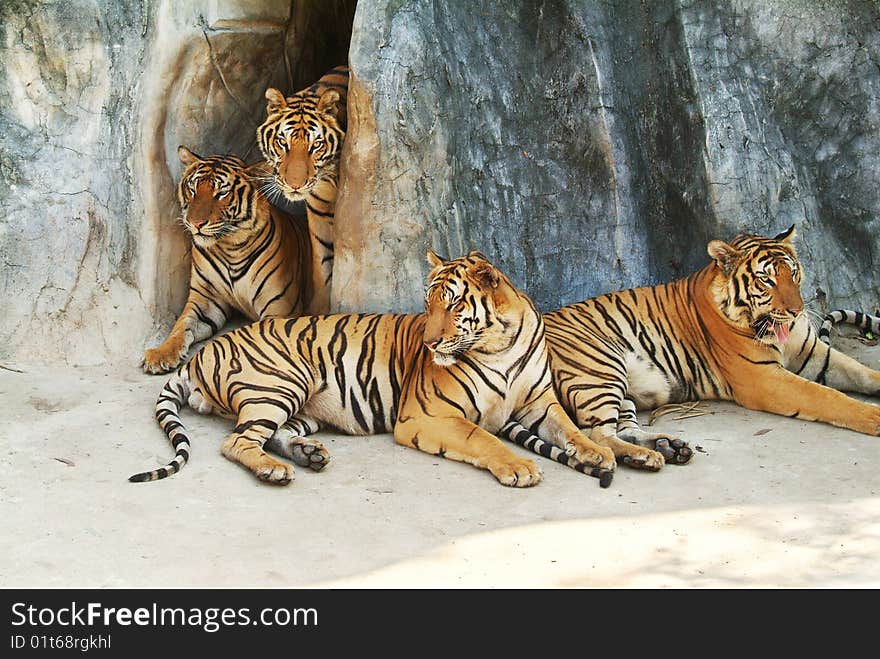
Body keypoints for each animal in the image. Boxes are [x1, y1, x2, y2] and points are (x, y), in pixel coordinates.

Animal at [131, 250, 616, 488]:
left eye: (453, 305)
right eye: (428, 305)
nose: (430, 343)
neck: (500, 344)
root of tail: (198, 356)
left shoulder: (539, 403)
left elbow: (568, 430)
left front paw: (598, 451)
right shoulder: (427, 415)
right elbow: (481, 437)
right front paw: (518, 468)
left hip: (303, 407)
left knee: (271, 434)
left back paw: (308, 455)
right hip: (281, 382)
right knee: (237, 441)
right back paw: (275, 470)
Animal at [144, 148, 330, 376]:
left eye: (221, 193)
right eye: (193, 189)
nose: (195, 223)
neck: (229, 248)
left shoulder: (280, 308)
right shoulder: (205, 301)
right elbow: (181, 326)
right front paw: (161, 354)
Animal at [254, 65, 348, 314]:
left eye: (316, 145)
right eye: (282, 142)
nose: (294, 184)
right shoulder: (319, 214)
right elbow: (322, 266)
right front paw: (319, 310)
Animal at [502, 227, 880, 470]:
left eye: (794, 273)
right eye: (766, 279)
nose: (797, 311)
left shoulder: (816, 354)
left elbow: (865, 373)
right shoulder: (764, 379)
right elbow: (829, 397)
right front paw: (874, 417)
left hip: (619, 388)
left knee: (620, 428)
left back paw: (667, 448)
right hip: (599, 370)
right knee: (597, 434)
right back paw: (649, 456)